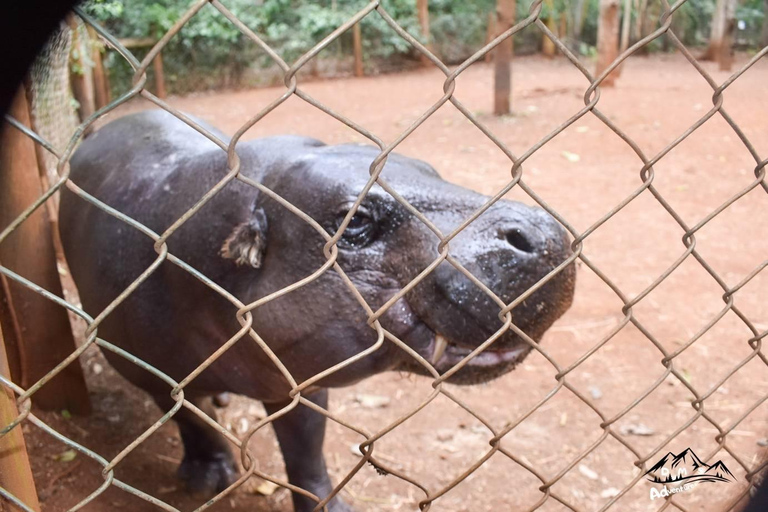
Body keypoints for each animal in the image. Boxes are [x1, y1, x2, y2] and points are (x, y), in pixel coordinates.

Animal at [61, 110, 576, 510]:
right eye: (356, 220)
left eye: (428, 167)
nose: (543, 230)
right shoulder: (152, 374)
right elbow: (191, 418)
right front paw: (209, 479)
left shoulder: (299, 379)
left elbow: (307, 449)